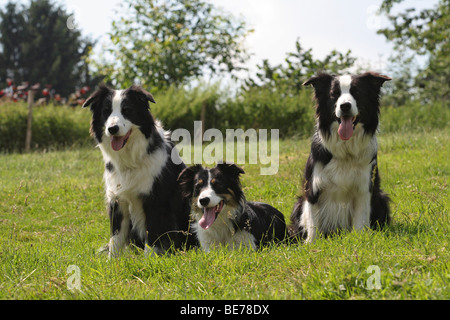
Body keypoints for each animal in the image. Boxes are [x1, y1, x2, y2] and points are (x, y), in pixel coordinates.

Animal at [82, 84, 197, 256]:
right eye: (106, 111)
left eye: (127, 110)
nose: (112, 128)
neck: (131, 159)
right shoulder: (117, 200)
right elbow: (115, 239)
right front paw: (112, 262)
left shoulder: (155, 200)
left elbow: (153, 235)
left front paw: (150, 260)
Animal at [290, 72, 392, 242]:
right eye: (334, 94)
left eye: (357, 92)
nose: (344, 106)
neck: (346, 149)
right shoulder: (312, 189)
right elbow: (313, 222)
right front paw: (311, 243)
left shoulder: (364, 188)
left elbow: (360, 220)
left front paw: (360, 240)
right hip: (298, 204)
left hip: (381, 198)